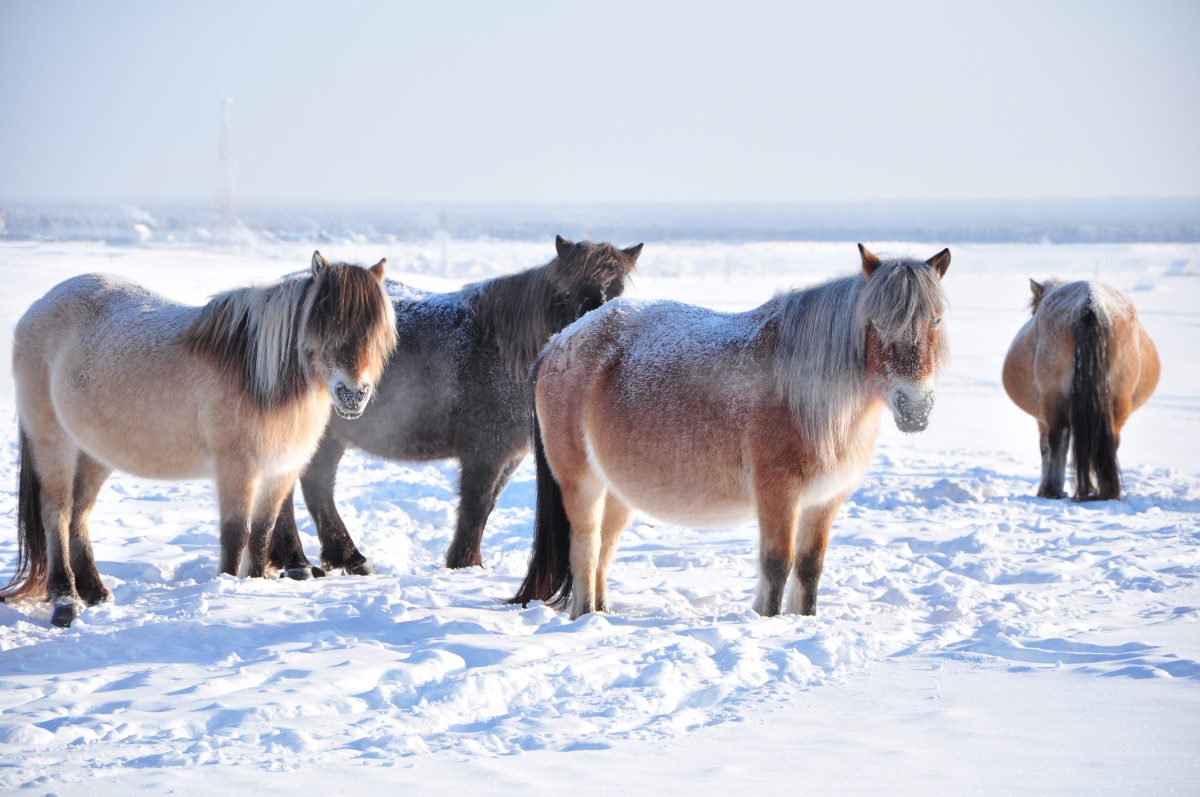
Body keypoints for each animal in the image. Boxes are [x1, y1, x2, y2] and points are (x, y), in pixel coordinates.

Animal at [4, 252, 398, 624]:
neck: (257, 374)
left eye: (376, 332)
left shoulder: (280, 472)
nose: (353, 395)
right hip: (53, 443)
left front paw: (256, 584)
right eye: (324, 323)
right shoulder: (236, 469)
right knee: (56, 512)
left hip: (93, 454)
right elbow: (236, 533)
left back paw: (96, 593)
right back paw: (65, 601)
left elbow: (262, 533)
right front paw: (230, 586)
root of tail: (38, 307)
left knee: (79, 515)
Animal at [267, 234, 643, 576]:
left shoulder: (507, 458)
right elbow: (475, 505)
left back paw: (343, 558)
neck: (503, 349)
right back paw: (299, 562)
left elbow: (486, 506)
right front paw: (466, 563)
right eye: (567, 294)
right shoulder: (485, 452)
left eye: (618, 291)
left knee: (316, 487)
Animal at [511, 246, 950, 619]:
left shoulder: (825, 500)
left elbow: (810, 568)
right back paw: (586, 615)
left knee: (604, 549)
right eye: (875, 323)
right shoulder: (778, 492)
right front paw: (770, 620)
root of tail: (559, 342)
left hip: (618, 491)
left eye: (936, 320)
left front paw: (804, 620)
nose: (915, 407)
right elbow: (777, 565)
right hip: (581, 484)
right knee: (585, 551)